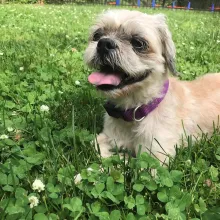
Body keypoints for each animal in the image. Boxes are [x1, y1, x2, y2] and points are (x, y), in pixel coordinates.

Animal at [84, 9, 220, 164]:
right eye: (97, 35)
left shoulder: (156, 157)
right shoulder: (107, 136)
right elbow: (95, 144)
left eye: (138, 43)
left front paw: (123, 157)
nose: (104, 43)